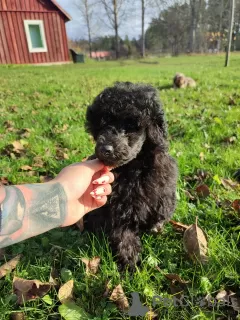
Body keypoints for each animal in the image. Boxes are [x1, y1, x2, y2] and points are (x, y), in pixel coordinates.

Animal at [85, 82, 178, 268]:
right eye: (101, 127)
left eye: (130, 126)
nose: (105, 149)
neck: (133, 167)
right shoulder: (117, 207)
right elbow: (122, 232)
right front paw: (129, 258)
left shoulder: (163, 186)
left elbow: (162, 209)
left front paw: (156, 225)